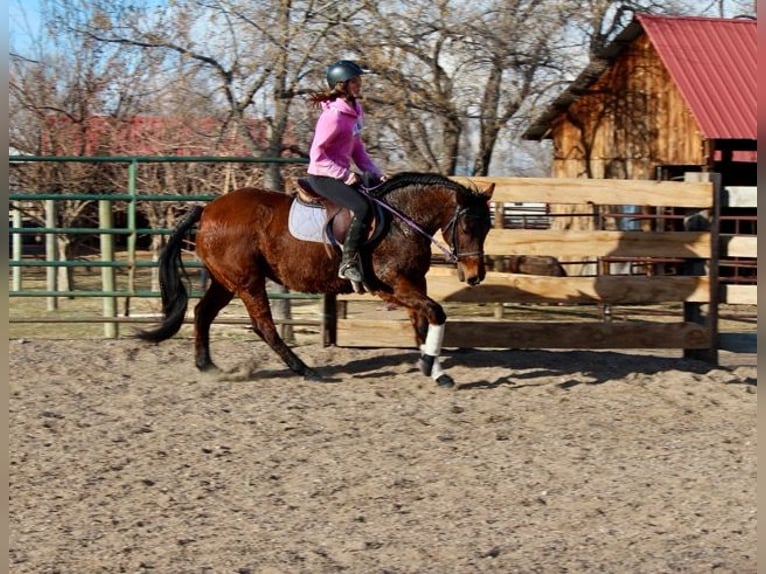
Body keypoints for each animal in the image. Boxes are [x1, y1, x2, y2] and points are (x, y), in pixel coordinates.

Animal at [136, 171, 498, 388]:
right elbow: (435, 312)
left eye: (488, 228)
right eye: (468, 226)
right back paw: (306, 371)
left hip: (226, 281)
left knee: (203, 314)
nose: (475, 276)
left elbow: (422, 322)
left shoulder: (412, 285)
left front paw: (433, 368)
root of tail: (208, 210)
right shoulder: (392, 286)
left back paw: (206, 365)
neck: (401, 220)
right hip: (248, 282)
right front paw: (430, 366)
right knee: (263, 326)